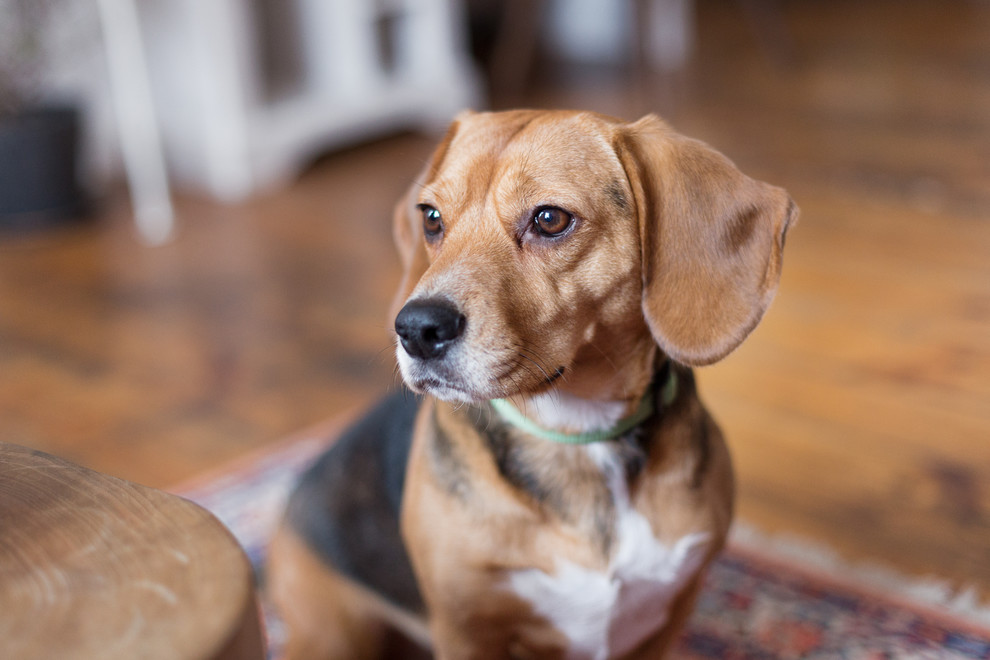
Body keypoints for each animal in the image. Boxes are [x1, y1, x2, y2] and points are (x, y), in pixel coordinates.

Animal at [268, 111, 796, 656]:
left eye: (549, 219)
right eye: (431, 218)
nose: (415, 328)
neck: (579, 432)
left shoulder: (669, 615)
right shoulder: (465, 631)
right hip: (331, 636)